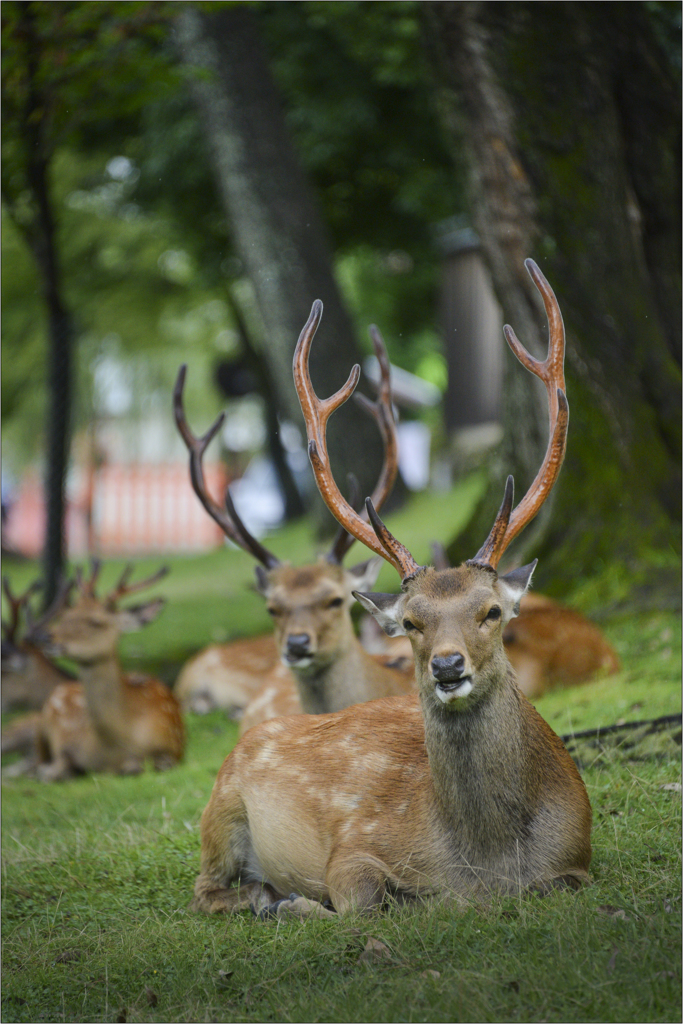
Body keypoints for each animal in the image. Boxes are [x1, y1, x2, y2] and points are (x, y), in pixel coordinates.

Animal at [23, 565, 184, 778]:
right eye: (65, 616)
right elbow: (54, 769)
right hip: (42, 724)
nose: (44, 636)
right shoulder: (69, 744)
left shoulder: (173, 750)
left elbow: (141, 765)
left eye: (95, 621)